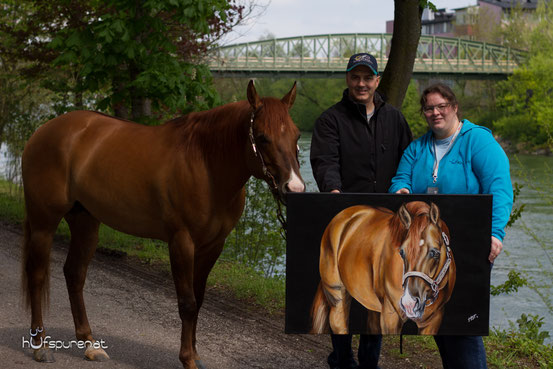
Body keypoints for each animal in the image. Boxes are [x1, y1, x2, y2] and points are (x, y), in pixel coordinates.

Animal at [21, 81, 304, 368]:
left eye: (297, 136)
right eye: (262, 137)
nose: (294, 189)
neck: (205, 165)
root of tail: (43, 131)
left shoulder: (212, 246)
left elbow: (199, 300)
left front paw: (196, 355)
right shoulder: (181, 241)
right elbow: (187, 303)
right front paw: (188, 358)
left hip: (85, 222)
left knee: (74, 274)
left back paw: (90, 345)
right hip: (44, 222)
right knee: (37, 275)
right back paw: (41, 346)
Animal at [308, 200, 454, 334]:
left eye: (435, 252)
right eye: (402, 252)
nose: (410, 303)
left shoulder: (433, 321)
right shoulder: (391, 317)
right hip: (337, 295)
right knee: (339, 323)